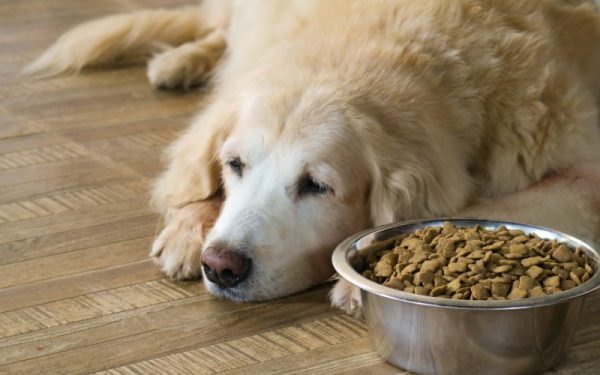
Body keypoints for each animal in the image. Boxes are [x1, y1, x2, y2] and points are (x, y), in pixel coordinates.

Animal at [28, 0, 600, 314]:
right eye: (235, 166)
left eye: (316, 186)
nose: (221, 267)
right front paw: (191, 225)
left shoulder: (580, 170)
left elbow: (499, 209)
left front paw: (357, 281)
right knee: (215, 32)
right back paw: (180, 60)